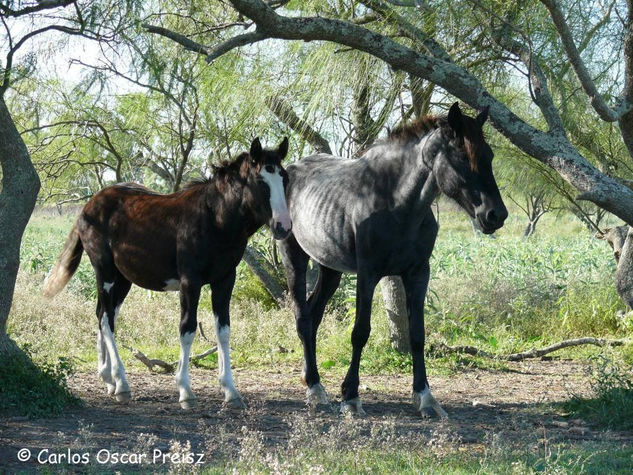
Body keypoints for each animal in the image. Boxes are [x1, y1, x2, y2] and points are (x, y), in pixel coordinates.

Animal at [278, 102, 506, 418]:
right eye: (462, 156)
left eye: (490, 155)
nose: (495, 215)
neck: (396, 203)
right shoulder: (368, 273)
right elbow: (360, 332)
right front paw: (351, 397)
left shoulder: (418, 273)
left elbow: (417, 334)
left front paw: (425, 397)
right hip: (294, 257)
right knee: (302, 317)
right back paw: (314, 388)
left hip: (329, 267)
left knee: (313, 315)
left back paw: (311, 379)